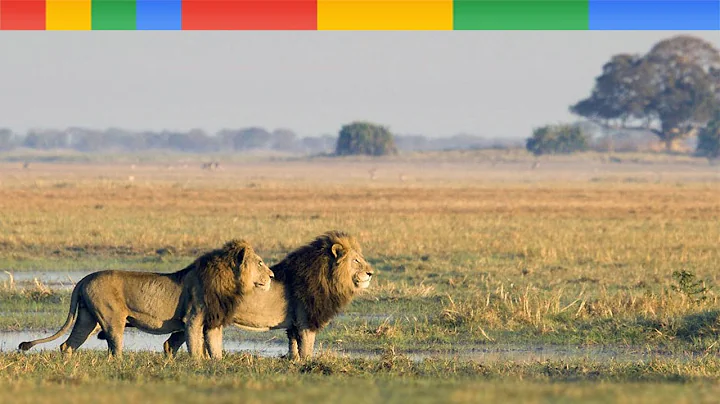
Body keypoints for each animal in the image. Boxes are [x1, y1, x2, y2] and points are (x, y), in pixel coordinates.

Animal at [18, 239, 273, 359]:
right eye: (260, 263)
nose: (272, 276)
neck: (230, 281)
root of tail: (84, 279)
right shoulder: (193, 318)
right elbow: (195, 348)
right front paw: (197, 366)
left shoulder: (213, 322)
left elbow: (216, 349)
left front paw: (215, 365)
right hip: (111, 318)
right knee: (114, 348)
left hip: (87, 318)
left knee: (67, 344)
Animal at [162, 230, 374, 360]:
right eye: (356, 260)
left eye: (361, 259)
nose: (371, 272)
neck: (328, 277)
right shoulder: (306, 320)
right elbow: (307, 346)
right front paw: (308, 362)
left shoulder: (295, 323)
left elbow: (294, 345)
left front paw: (294, 361)